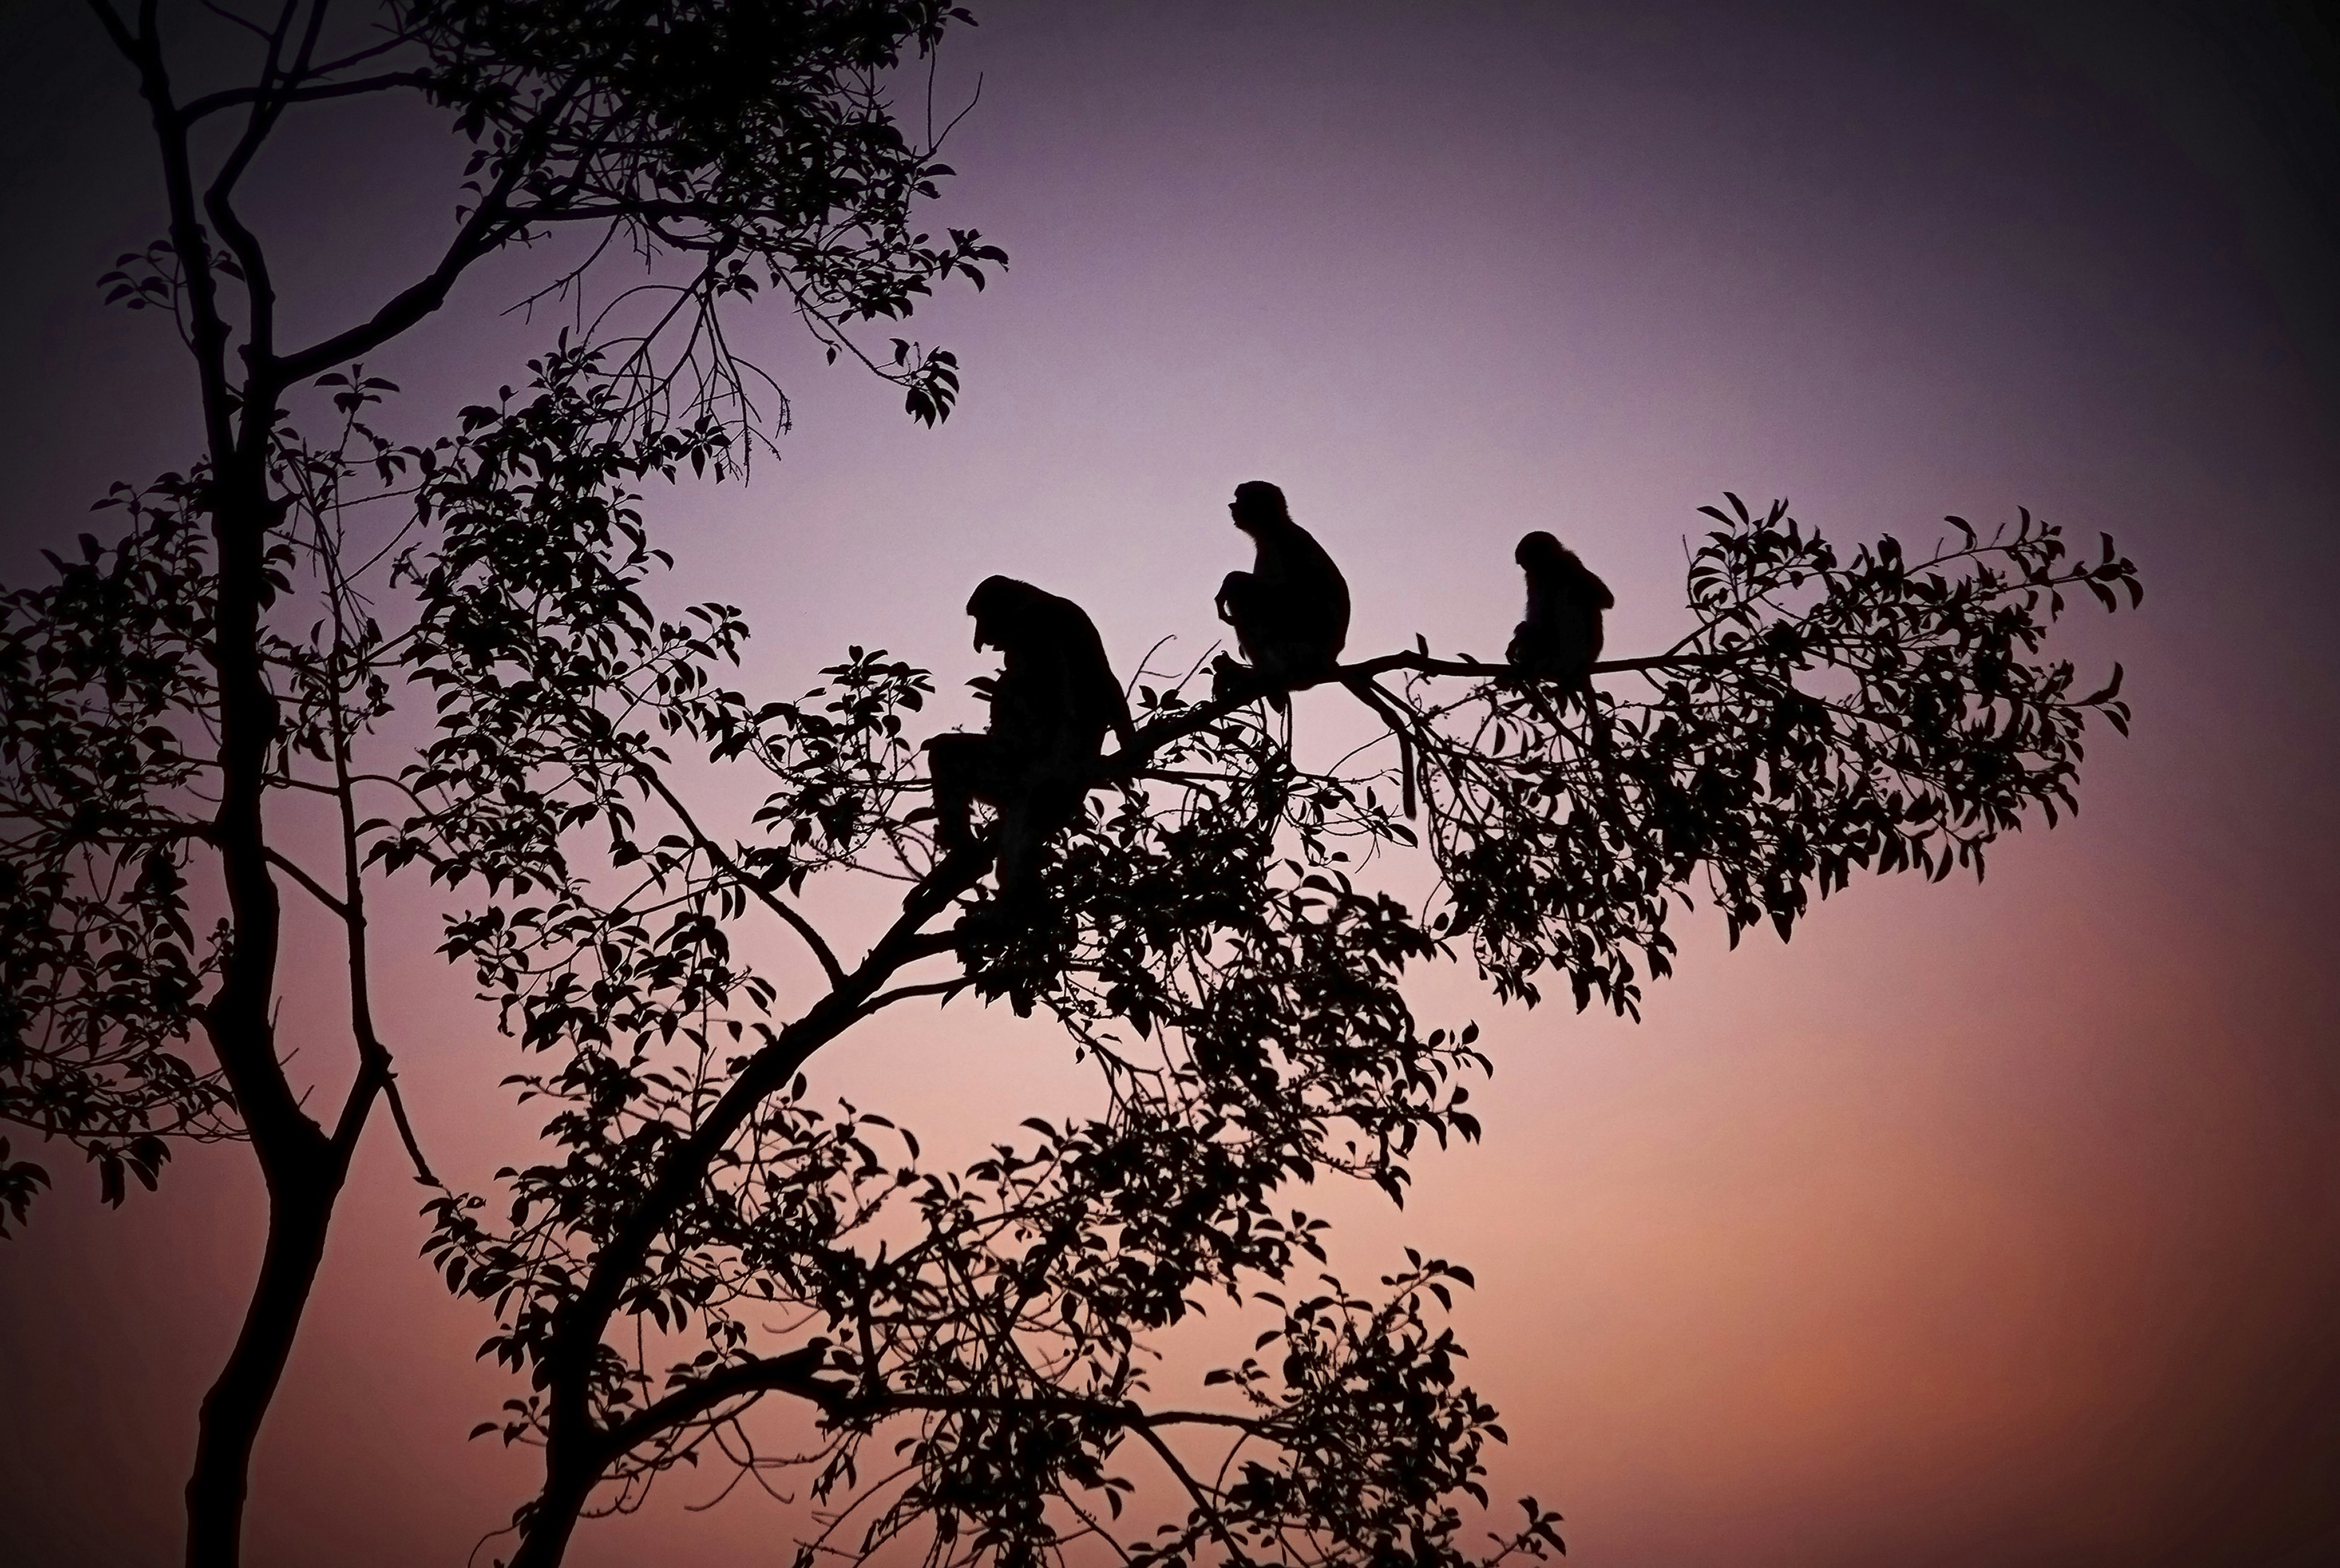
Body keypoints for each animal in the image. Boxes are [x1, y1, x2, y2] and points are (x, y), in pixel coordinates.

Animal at [923, 576, 1137, 907]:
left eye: (981, 617)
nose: (978, 639)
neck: (1035, 601)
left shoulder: (1032, 622)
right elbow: (1104, 679)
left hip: (1016, 767)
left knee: (948, 753)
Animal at [1212, 481, 1350, 709]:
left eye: (1240, 499)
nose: (1232, 505)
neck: (1275, 529)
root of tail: (1327, 658)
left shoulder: (1285, 545)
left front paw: (1229, 581)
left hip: (1298, 645)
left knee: (1243, 593)